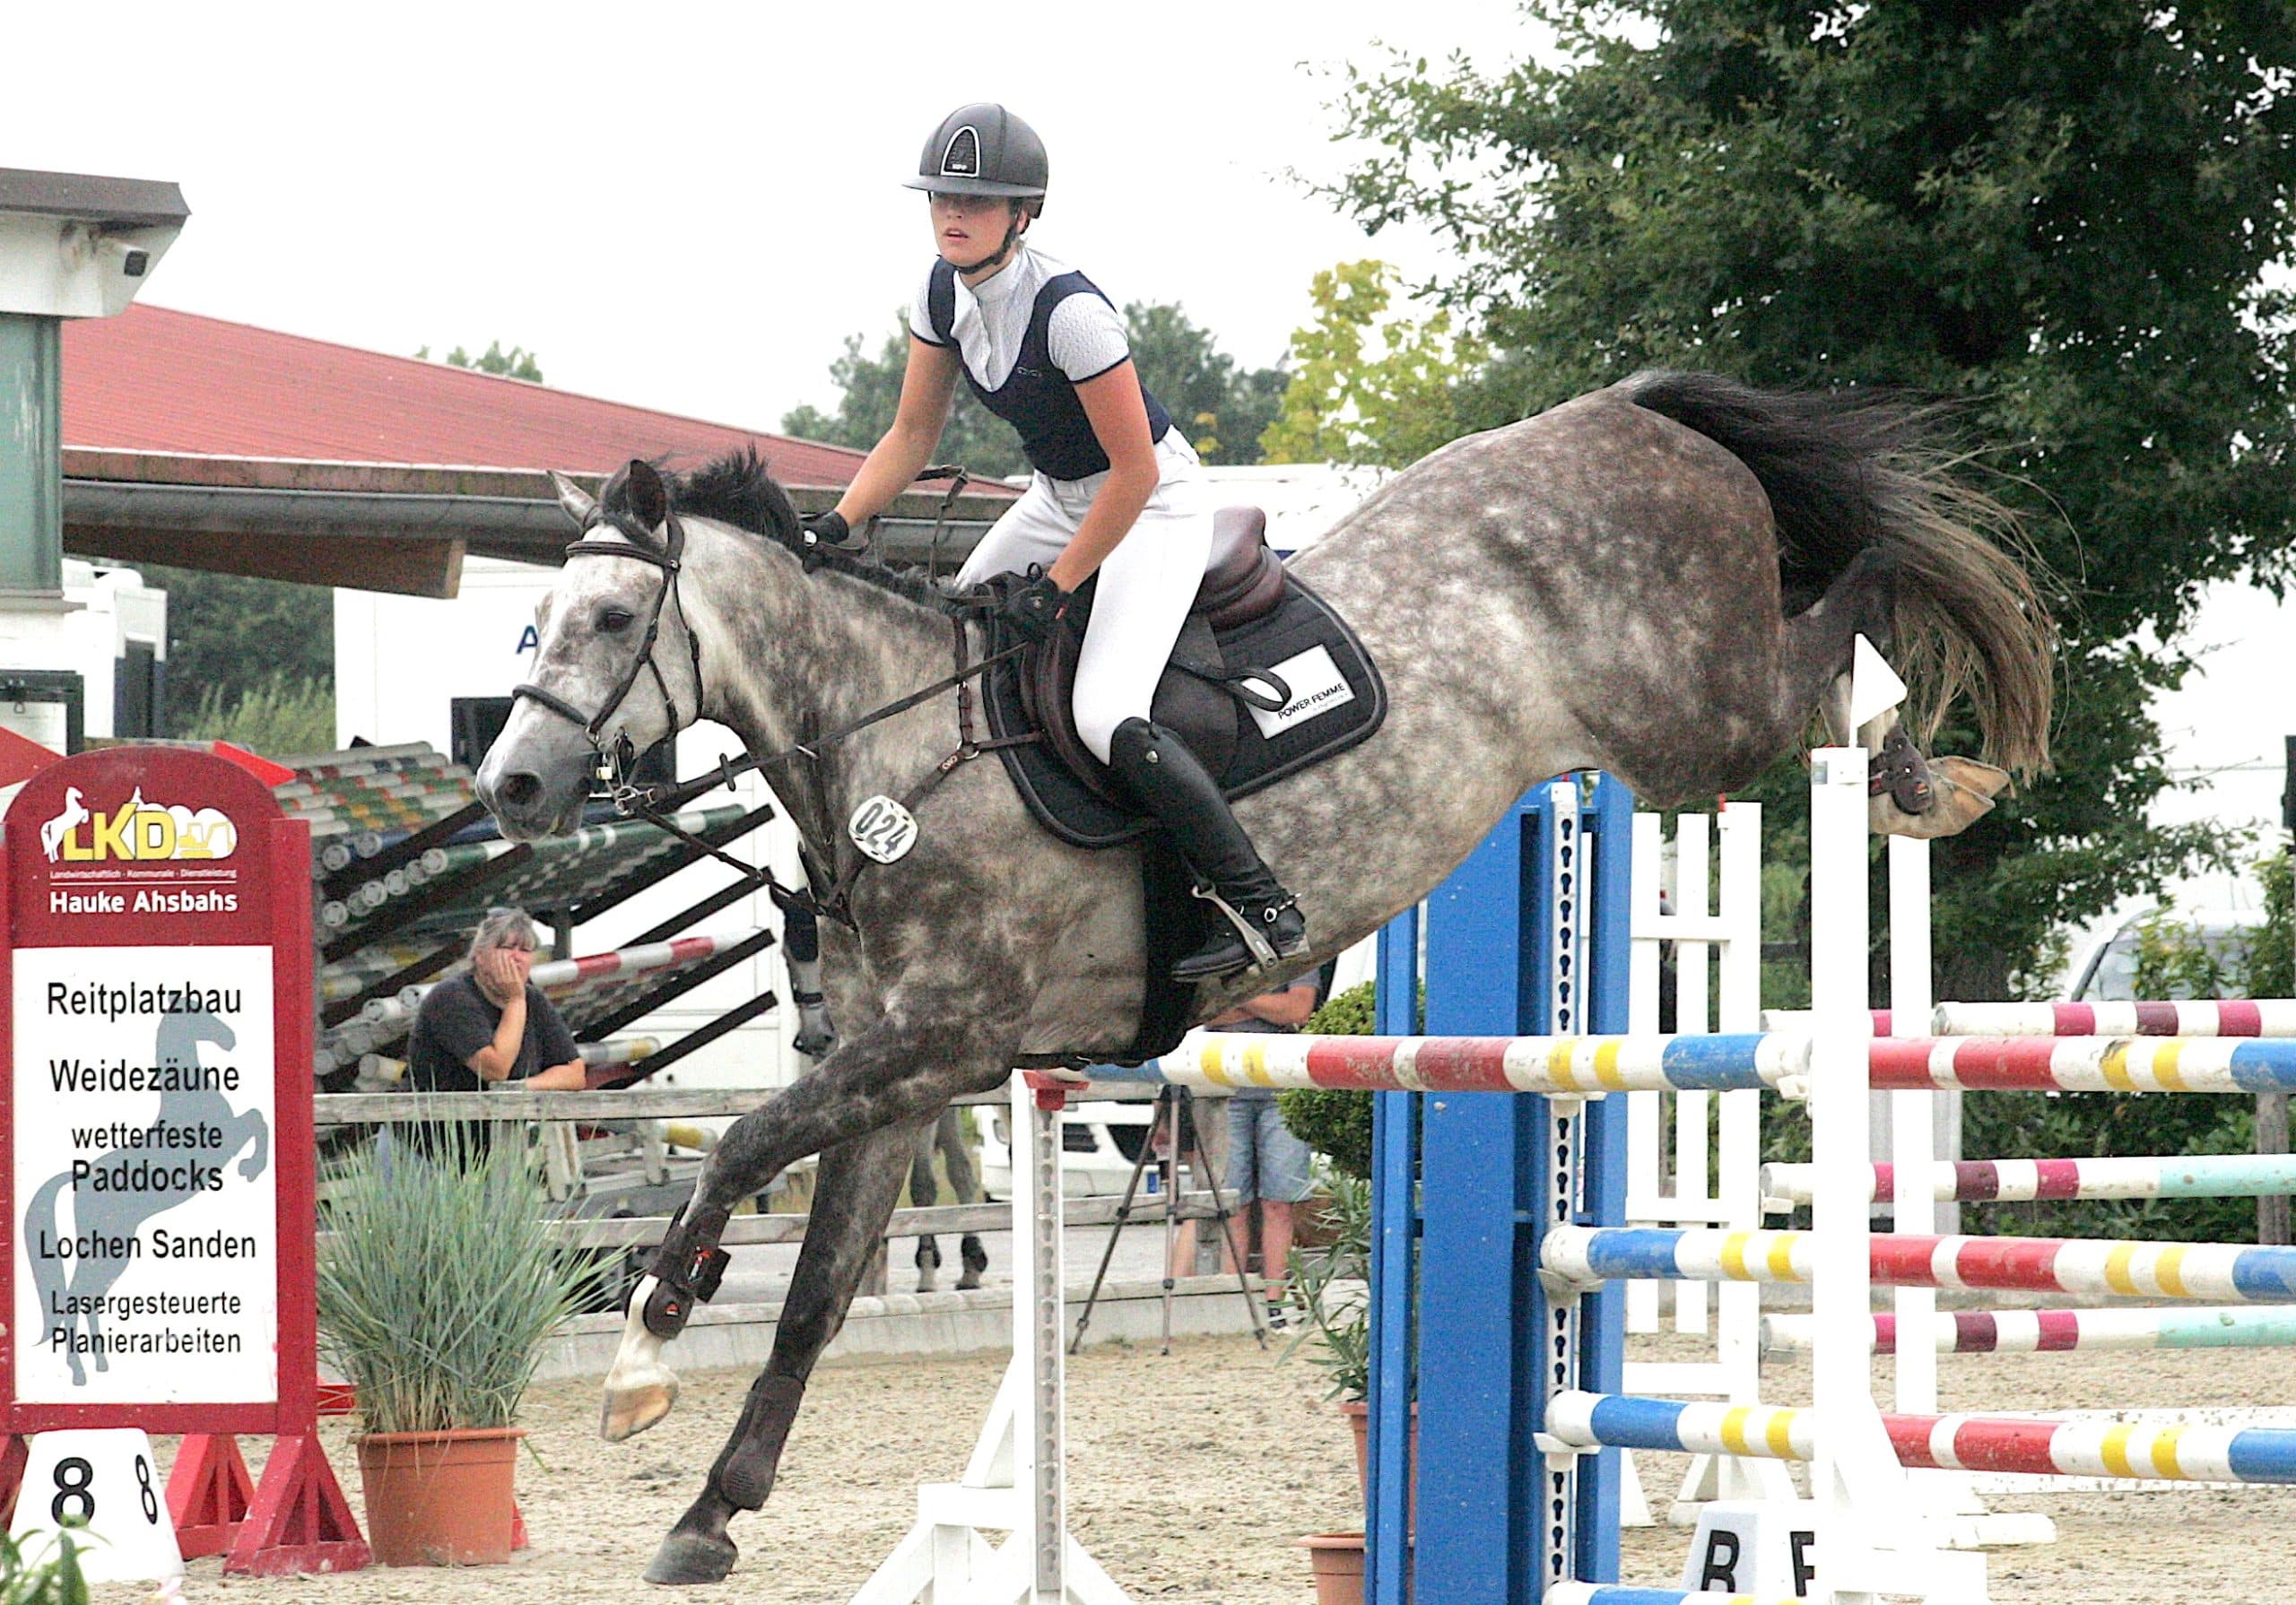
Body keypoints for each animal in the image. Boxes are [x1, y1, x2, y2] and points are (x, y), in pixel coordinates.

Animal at [480, 367, 2048, 1579]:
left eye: (612, 622)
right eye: (533, 622)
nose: (512, 786)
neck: (895, 746)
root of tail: (1632, 412)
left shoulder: (942, 1042)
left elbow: (743, 1141)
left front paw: (642, 1354)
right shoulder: (907, 1074)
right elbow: (813, 1286)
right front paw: (709, 1511)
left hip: (1693, 715)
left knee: (1841, 621)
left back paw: (1917, 763)